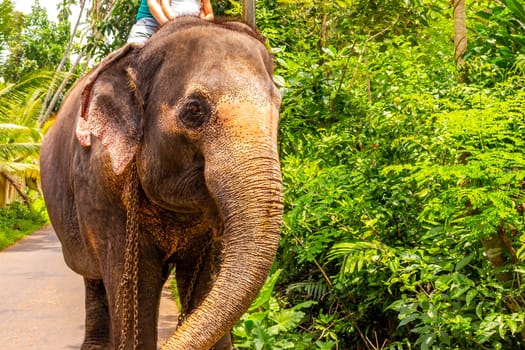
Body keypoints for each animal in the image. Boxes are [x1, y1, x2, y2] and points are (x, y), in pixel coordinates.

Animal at [40, 17, 282, 350]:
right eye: (194, 110)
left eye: (279, 106)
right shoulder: (100, 189)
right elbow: (135, 287)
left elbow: (207, 281)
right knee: (94, 278)